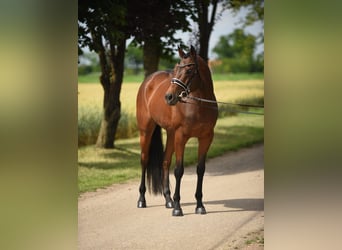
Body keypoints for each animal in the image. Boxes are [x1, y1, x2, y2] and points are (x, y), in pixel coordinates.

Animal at [136, 45, 218, 217]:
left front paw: (199, 205)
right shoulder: (181, 137)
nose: (169, 97)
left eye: (189, 70)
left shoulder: (206, 138)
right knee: (144, 160)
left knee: (165, 161)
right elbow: (179, 170)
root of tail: (148, 81)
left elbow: (200, 169)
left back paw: (168, 200)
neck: (198, 104)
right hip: (146, 131)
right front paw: (178, 208)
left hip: (171, 134)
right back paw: (142, 200)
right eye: (175, 69)